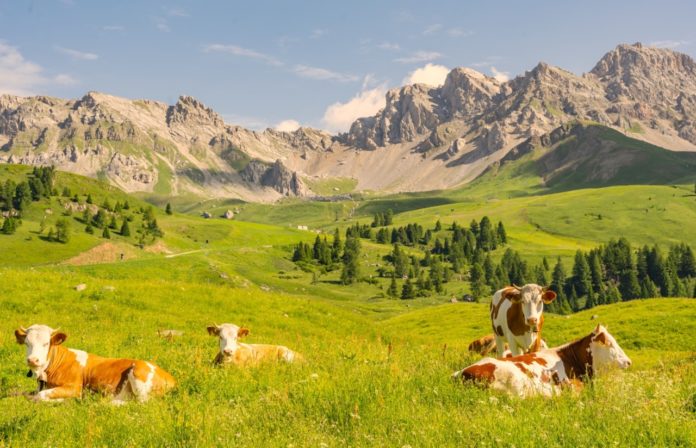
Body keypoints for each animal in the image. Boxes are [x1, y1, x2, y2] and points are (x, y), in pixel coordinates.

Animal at [15, 324, 175, 404]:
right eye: (27, 343)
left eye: (46, 343)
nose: (33, 360)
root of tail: (171, 378)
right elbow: (23, 393)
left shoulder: (74, 388)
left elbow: (40, 396)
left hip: (139, 375)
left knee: (141, 404)